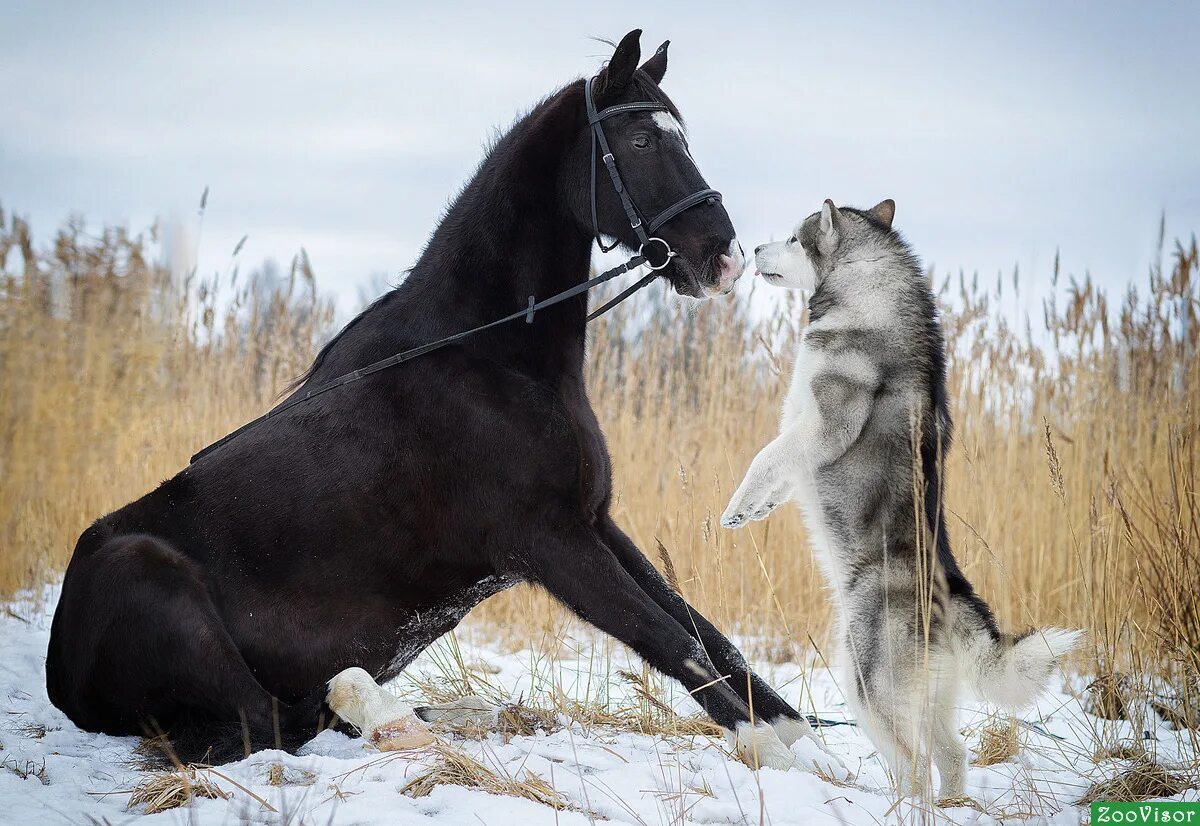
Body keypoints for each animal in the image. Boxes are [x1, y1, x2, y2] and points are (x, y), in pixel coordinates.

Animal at [46, 29, 835, 773]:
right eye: (641, 140)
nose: (725, 256)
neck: (490, 356)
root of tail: (61, 670)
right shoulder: (549, 541)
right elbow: (675, 644)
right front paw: (773, 756)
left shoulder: (595, 523)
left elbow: (712, 636)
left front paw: (815, 750)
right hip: (164, 594)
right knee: (279, 718)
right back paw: (393, 716)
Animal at [720, 200, 1080, 801]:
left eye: (793, 239)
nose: (753, 249)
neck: (867, 297)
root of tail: (952, 590)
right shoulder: (800, 430)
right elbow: (779, 468)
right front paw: (760, 508)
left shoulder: (823, 426)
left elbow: (765, 458)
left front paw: (737, 507)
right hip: (923, 694)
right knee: (952, 754)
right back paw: (952, 804)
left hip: (865, 682)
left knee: (915, 764)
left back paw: (900, 806)